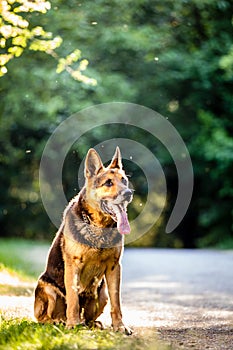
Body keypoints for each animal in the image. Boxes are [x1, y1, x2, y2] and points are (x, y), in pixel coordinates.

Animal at [34, 147, 133, 334]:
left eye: (124, 180)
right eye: (108, 183)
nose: (128, 193)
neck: (100, 227)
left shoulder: (114, 268)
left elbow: (117, 303)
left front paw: (119, 326)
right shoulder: (73, 266)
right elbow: (73, 300)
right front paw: (73, 324)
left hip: (102, 294)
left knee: (88, 317)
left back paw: (92, 324)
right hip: (48, 290)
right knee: (45, 318)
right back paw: (60, 322)